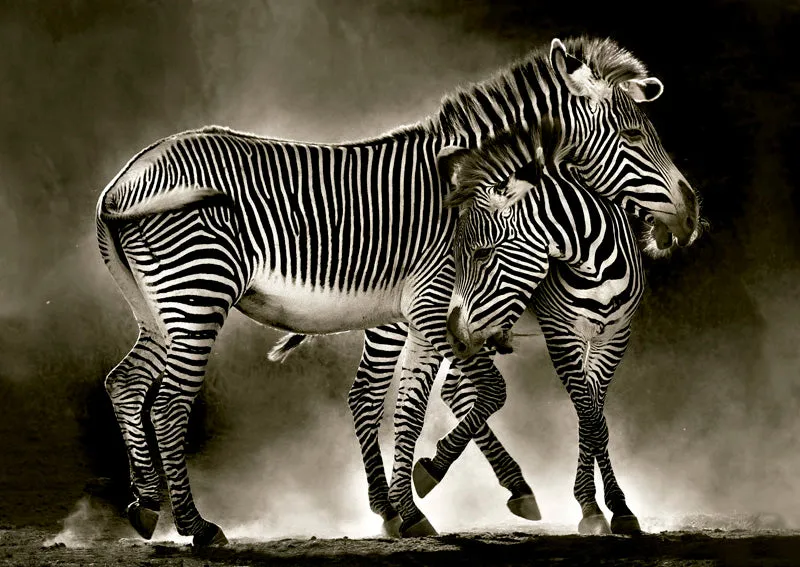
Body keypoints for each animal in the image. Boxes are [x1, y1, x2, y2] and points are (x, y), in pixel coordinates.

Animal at [435, 118, 692, 535]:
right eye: (457, 256)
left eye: (483, 253)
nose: (455, 335)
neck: (594, 262)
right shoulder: (561, 335)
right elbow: (589, 414)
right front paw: (591, 507)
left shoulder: (614, 337)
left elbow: (595, 418)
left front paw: (616, 505)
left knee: (453, 390)